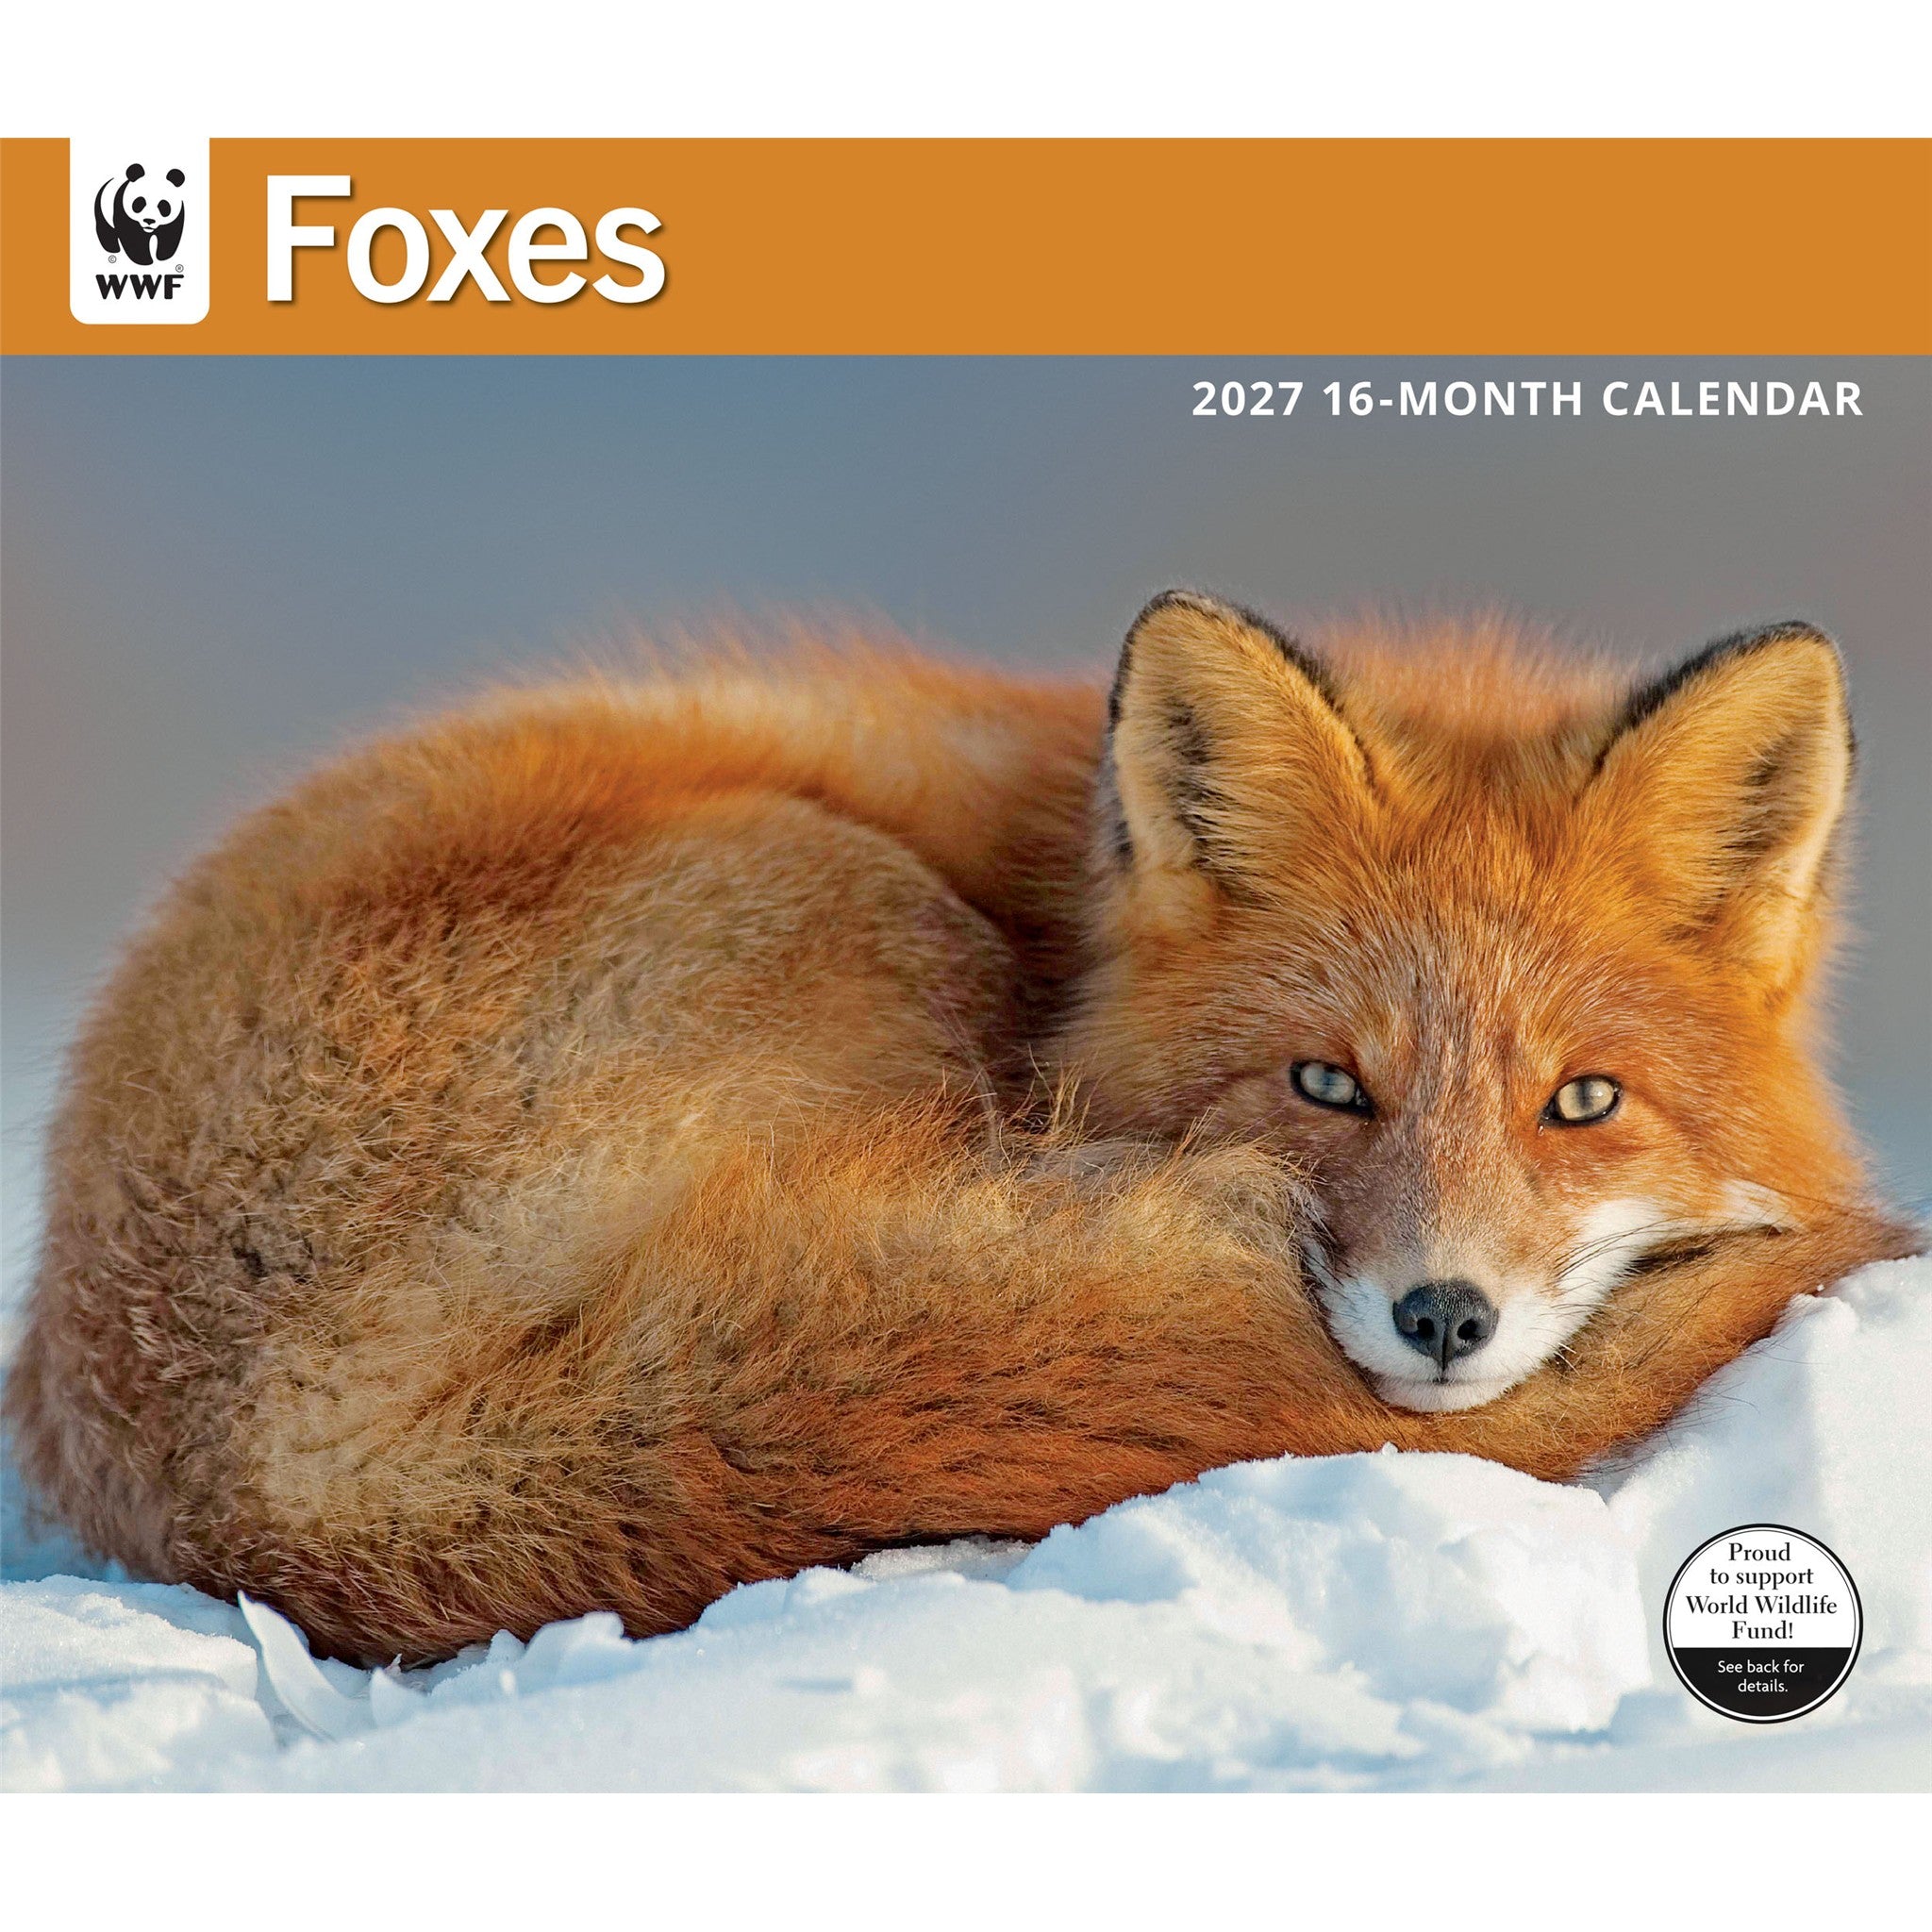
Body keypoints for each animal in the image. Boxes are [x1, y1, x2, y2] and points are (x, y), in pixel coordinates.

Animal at [6, 592, 1917, 1664]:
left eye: (1580, 1100)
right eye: (1327, 1084)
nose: (1442, 1316)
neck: (1063, 911)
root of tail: (268, 1476)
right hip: (868, 904)